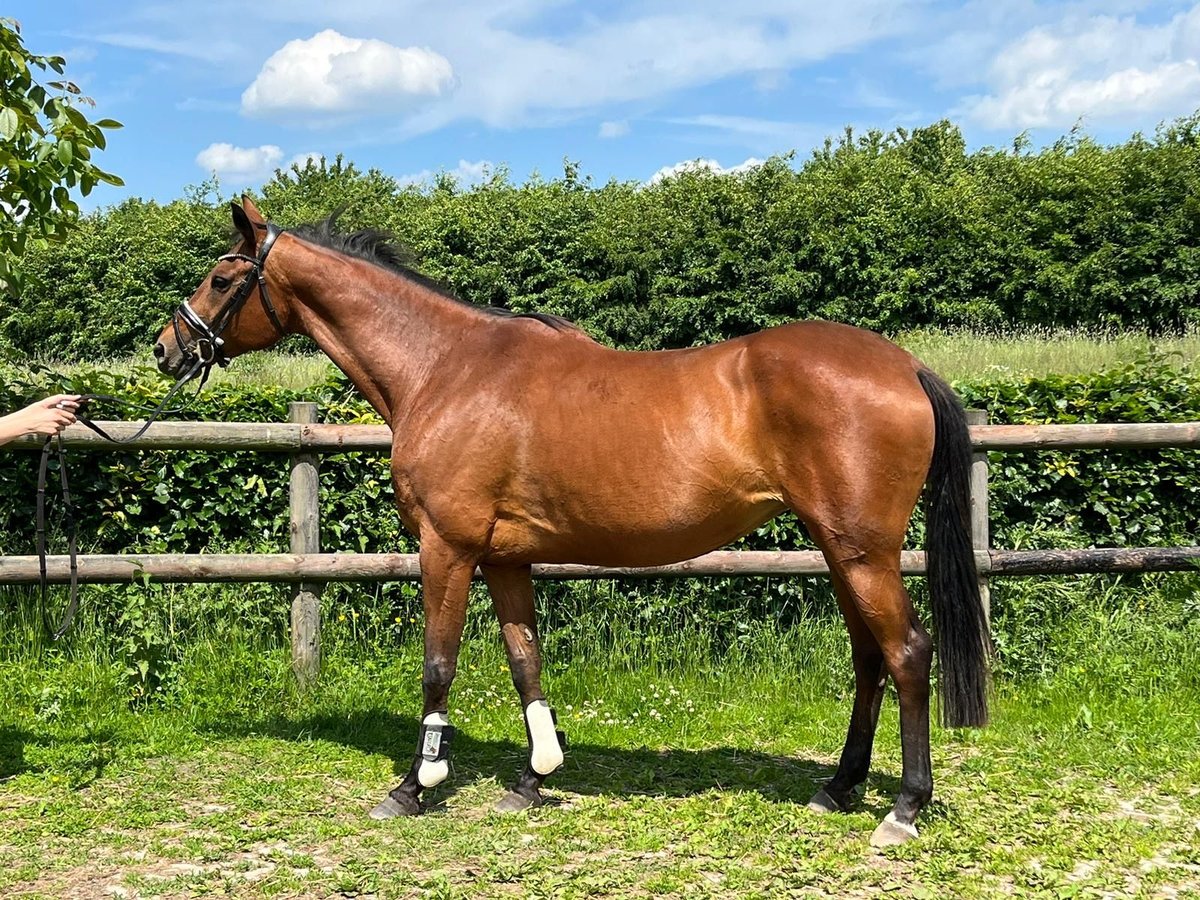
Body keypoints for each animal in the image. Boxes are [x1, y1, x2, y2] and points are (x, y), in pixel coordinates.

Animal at [154, 195, 988, 844]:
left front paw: (417, 785)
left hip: (863, 552)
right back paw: (839, 788)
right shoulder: (504, 557)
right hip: (839, 549)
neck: (446, 367)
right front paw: (535, 776)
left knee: (907, 653)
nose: (167, 348)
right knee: (869, 659)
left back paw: (904, 809)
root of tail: (905, 365)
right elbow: (526, 657)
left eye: (222, 277)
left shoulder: (446, 547)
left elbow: (438, 663)